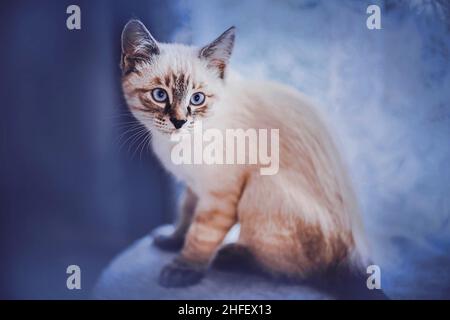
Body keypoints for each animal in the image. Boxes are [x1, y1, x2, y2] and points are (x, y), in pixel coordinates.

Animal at [119, 19, 370, 288]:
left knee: (298, 271)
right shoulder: (194, 185)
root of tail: (353, 260)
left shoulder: (219, 196)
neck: (178, 146)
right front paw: (172, 241)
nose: (179, 122)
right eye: (160, 95)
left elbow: (201, 233)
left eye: (197, 99)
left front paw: (184, 267)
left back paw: (230, 257)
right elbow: (185, 213)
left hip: (260, 186)